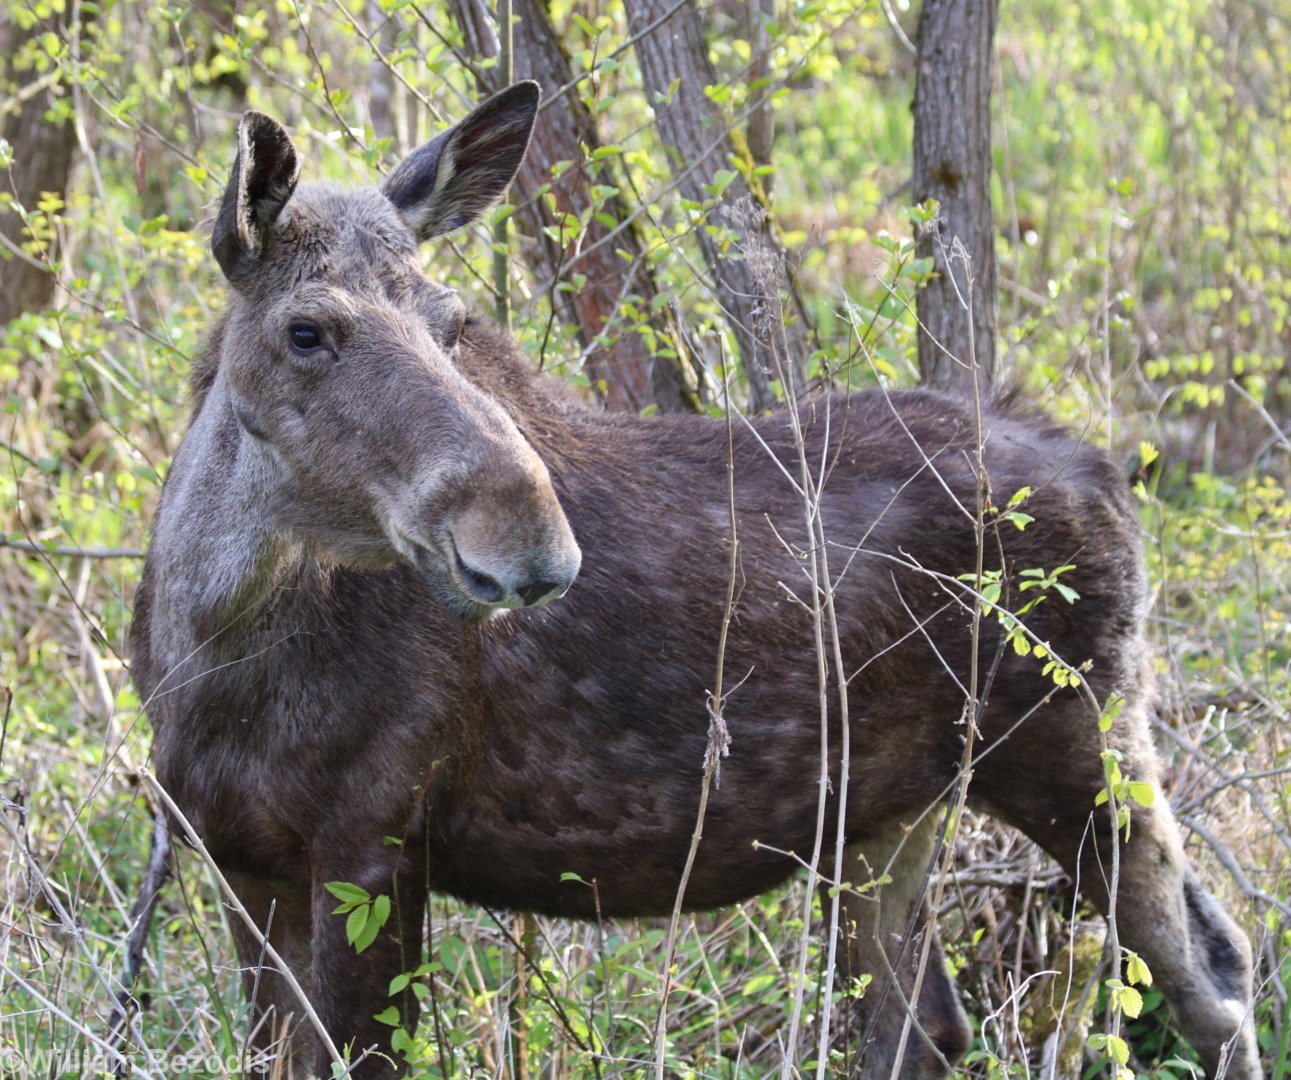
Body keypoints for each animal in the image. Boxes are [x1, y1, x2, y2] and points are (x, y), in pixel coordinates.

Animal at [128, 82, 1261, 1078]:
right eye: (306, 330)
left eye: (452, 323)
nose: (532, 540)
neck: (211, 645)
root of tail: (1109, 474)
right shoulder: (241, 860)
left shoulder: (374, 841)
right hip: (886, 818)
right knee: (924, 1028)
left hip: (1081, 746)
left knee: (1215, 970)